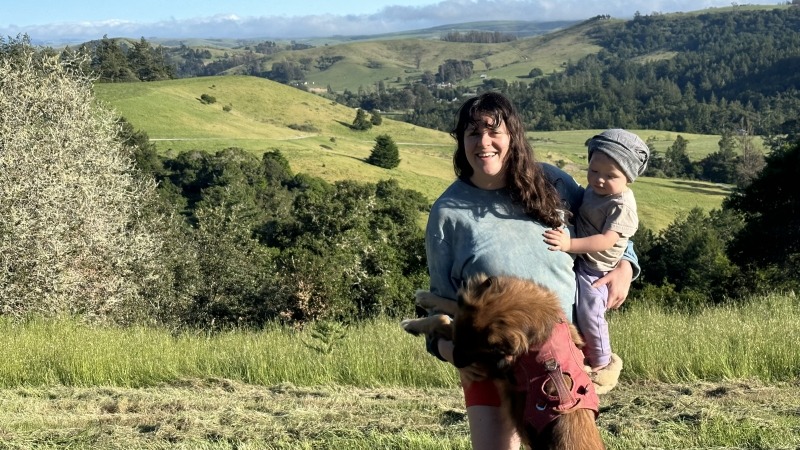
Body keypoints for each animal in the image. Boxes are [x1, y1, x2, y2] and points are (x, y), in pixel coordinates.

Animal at [404, 274, 604, 450]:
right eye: (460, 343)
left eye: (477, 352)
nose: (458, 363)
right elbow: (452, 306)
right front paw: (427, 297)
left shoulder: (493, 366)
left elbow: (442, 319)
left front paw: (411, 323)